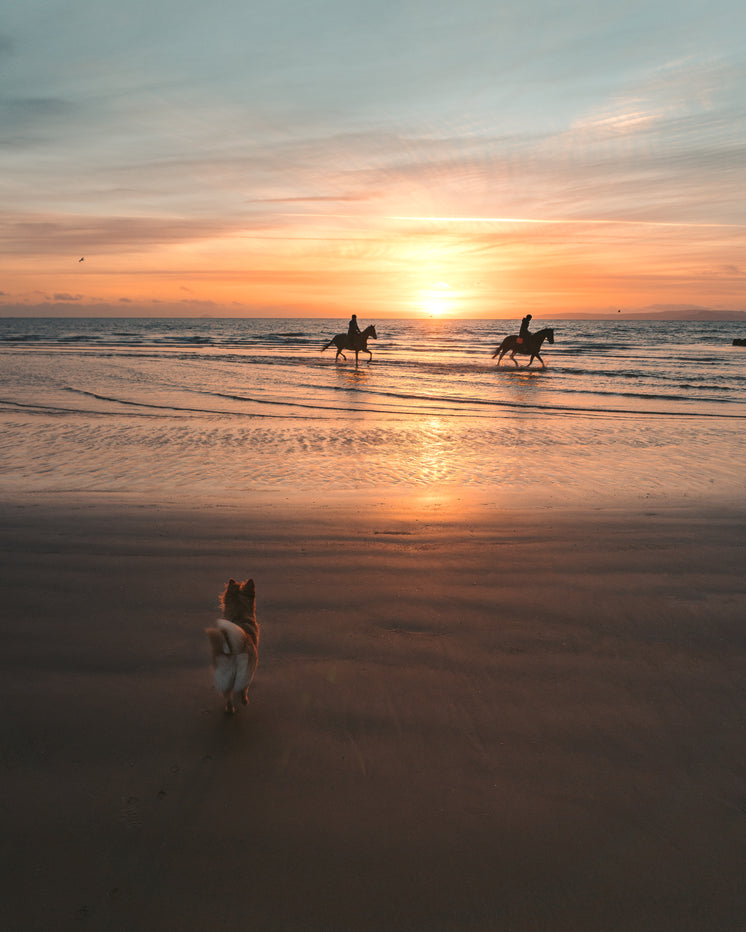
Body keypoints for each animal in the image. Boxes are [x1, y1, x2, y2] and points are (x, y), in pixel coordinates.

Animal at [205, 576, 260, 712]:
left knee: (227, 695)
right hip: (247, 671)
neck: (239, 616)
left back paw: (229, 710)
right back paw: (243, 700)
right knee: (243, 688)